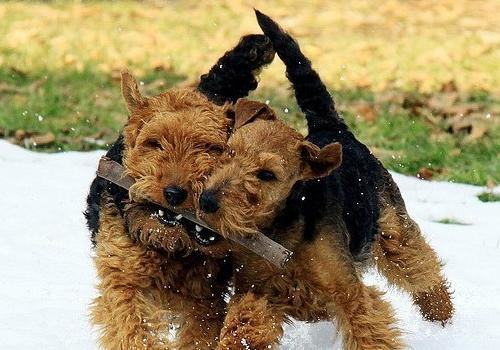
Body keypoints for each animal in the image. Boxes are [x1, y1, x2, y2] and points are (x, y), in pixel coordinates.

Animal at [84, 34, 276, 348]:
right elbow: (132, 328)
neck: (169, 244)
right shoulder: (124, 280)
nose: (174, 193)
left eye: (209, 148)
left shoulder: (204, 298)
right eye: (155, 143)